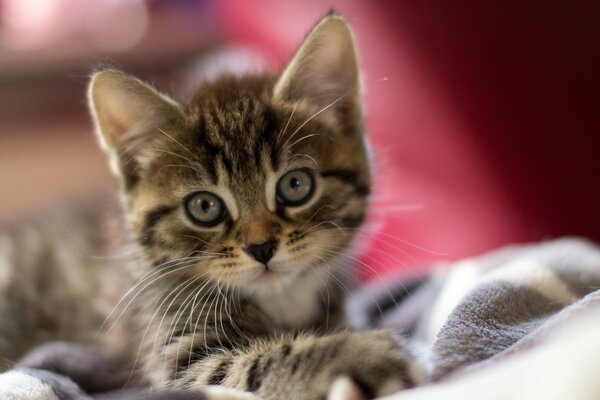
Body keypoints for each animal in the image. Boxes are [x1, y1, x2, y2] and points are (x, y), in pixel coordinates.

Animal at [0, 11, 424, 396]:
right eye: (204, 207)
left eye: (296, 185)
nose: (262, 248)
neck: (283, 299)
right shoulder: (177, 345)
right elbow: (254, 359)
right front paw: (361, 357)